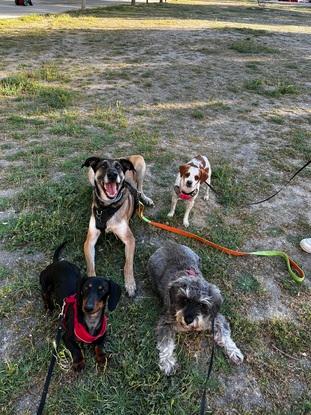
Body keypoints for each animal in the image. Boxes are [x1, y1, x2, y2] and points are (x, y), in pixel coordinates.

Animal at [82, 154, 154, 298]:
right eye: (103, 165)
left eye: (118, 167)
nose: (113, 175)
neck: (107, 207)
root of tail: (126, 157)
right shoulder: (89, 241)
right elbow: (90, 266)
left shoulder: (130, 240)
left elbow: (128, 265)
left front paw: (130, 284)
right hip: (90, 174)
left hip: (140, 164)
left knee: (140, 189)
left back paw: (146, 199)